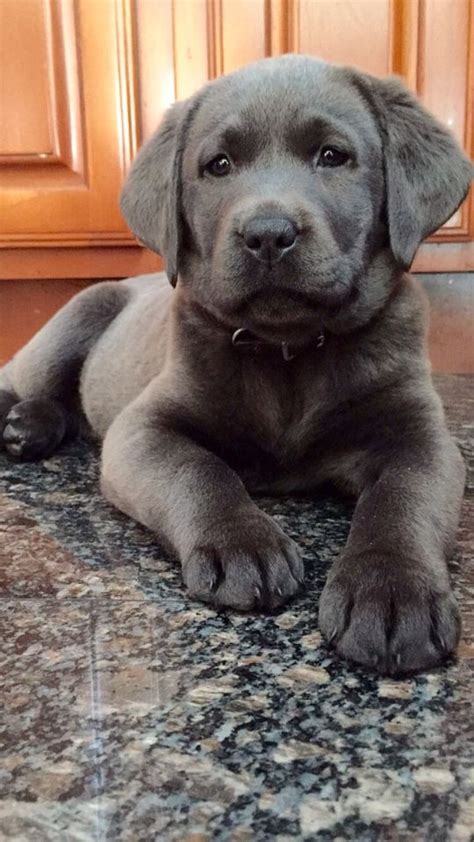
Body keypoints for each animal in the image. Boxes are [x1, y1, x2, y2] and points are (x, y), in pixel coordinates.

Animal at [1, 55, 472, 672]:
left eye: (332, 156)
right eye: (218, 165)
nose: (267, 234)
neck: (288, 351)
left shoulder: (420, 434)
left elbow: (404, 496)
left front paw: (393, 591)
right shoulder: (143, 427)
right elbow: (199, 469)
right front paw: (242, 543)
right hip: (80, 311)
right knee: (29, 381)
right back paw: (22, 423)